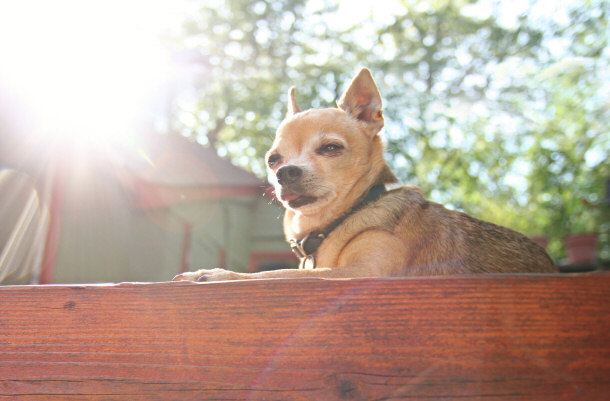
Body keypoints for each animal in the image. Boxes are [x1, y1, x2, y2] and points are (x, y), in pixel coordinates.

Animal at [172, 68, 556, 282]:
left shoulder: (361, 273)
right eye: (272, 160)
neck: (344, 217)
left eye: (331, 148)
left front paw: (214, 274)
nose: (285, 172)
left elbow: (271, 274)